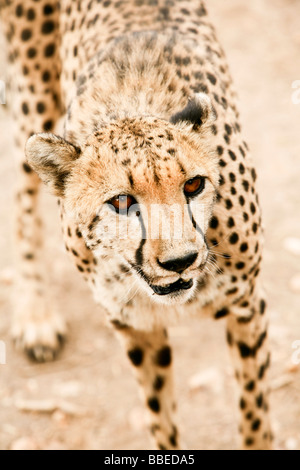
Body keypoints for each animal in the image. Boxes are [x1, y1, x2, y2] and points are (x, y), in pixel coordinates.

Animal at [0, 0, 272, 450]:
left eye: (193, 185)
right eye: (122, 202)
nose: (180, 261)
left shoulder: (247, 307)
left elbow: (255, 416)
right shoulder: (134, 327)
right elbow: (160, 418)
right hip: (33, 97)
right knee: (23, 200)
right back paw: (37, 317)